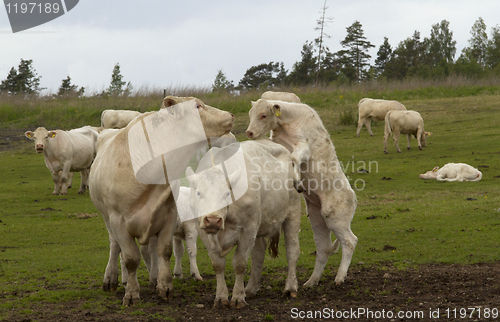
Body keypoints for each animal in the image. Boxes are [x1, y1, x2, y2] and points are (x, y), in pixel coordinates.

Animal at [89, 95, 233, 304]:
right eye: (198, 105)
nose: (230, 114)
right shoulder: (118, 220)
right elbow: (130, 258)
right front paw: (131, 293)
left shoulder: (169, 214)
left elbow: (164, 251)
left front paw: (164, 286)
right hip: (107, 218)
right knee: (115, 246)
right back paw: (112, 278)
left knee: (151, 250)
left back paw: (153, 278)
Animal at [185, 139, 298, 310]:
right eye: (198, 193)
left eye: (226, 193)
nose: (212, 220)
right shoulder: (203, 231)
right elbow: (218, 265)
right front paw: (221, 297)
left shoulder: (248, 228)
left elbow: (239, 263)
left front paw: (238, 297)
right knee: (259, 253)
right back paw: (250, 289)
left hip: (291, 212)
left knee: (292, 251)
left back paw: (290, 288)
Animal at [245, 98, 356, 286]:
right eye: (250, 113)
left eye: (263, 115)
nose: (249, 132)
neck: (288, 122)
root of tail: (353, 197)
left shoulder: (303, 146)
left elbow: (294, 158)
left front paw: (297, 181)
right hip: (318, 220)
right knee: (323, 248)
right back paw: (311, 281)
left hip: (336, 219)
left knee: (350, 242)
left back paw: (339, 278)